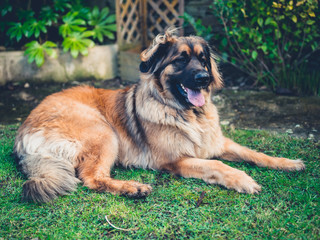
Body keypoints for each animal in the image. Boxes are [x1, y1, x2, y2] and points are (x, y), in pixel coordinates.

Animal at [14, 30, 304, 202]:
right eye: (181, 60)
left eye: (203, 59)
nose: (204, 78)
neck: (187, 113)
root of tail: (22, 132)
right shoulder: (176, 160)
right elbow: (217, 165)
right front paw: (243, 180)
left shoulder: (218, 143)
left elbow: (255, 153)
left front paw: (287, 162)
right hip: (103, 131)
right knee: (91, 178)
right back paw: (132, 187)